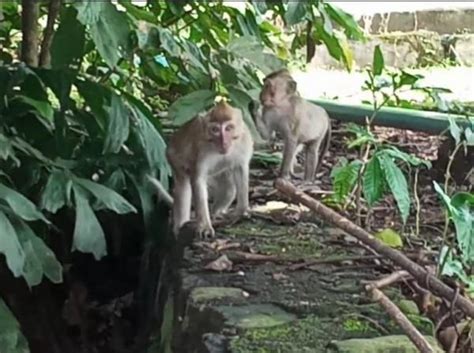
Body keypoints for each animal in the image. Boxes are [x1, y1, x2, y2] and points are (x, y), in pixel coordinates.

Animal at [147, 99, 254, 238]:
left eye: (229, 128)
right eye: (215, 129)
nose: (223, 142)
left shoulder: (244, 142)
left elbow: (241, 170)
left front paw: (242, 211)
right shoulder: (200, 150)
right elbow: (198, 180)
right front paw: (204, 226)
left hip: (219, 173)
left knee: (229, 189)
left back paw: (217, 212)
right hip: (173, 158)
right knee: (183, 186)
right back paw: (180, 225)